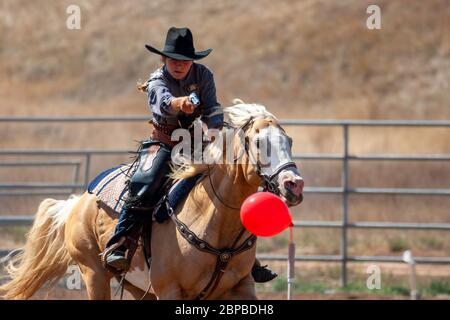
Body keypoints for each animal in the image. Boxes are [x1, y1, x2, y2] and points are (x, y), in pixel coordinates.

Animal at [0, 103, 304, 300]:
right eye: (258, 143)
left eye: (289, 140)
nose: (294, 184)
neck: (214, 223)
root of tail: (79, 201)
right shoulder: (169, 290)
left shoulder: (242, 287)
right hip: (93, 273)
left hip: (137, 287)